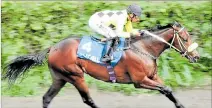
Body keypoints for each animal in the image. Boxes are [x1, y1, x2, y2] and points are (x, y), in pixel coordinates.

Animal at [2, 21, 200, 108]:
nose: (196, 56)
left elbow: (168, 91)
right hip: (75, 75)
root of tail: (53, 47)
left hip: (60, 78)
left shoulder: (152, 76)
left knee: (47, 98)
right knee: (87, 99)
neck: (143, 48)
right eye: (185, 38)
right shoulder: (140, 81)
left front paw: (181, 105)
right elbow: (166, 89)